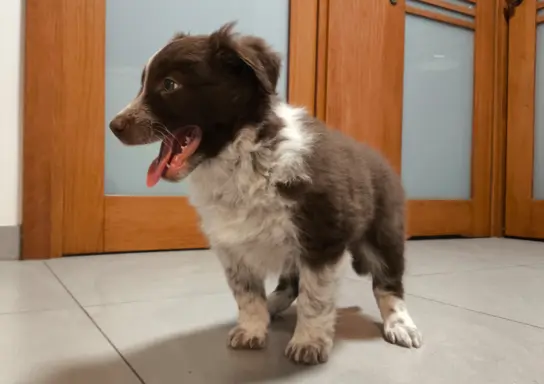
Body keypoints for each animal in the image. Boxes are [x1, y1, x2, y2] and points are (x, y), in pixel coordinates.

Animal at [109, 22, 420, 364]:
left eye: (169, 84)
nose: (114, 126)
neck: (242, 157)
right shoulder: (232, 246)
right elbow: (247, 294)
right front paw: (252, 329)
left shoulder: (322, 236)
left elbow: (315, 297)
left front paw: (308, 342)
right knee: (290, 283)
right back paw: (273, 306)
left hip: (384, 232)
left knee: (388, 283)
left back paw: (399, 324)